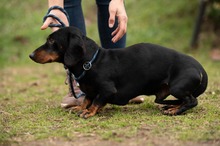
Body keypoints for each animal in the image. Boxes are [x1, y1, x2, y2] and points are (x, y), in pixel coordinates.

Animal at [29, 26, 208, 118]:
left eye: (51, 41)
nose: (30, 55)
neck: (91, 61)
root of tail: (199, 66)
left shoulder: (107, 90)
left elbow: (96, 101)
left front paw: (89, 112)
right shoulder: (90, 91)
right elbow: (87, 99)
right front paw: (80, 108)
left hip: (177, 88)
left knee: (192, 101)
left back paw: (174, 110)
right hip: (166, 94)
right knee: (182, 100)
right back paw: (171, 107)